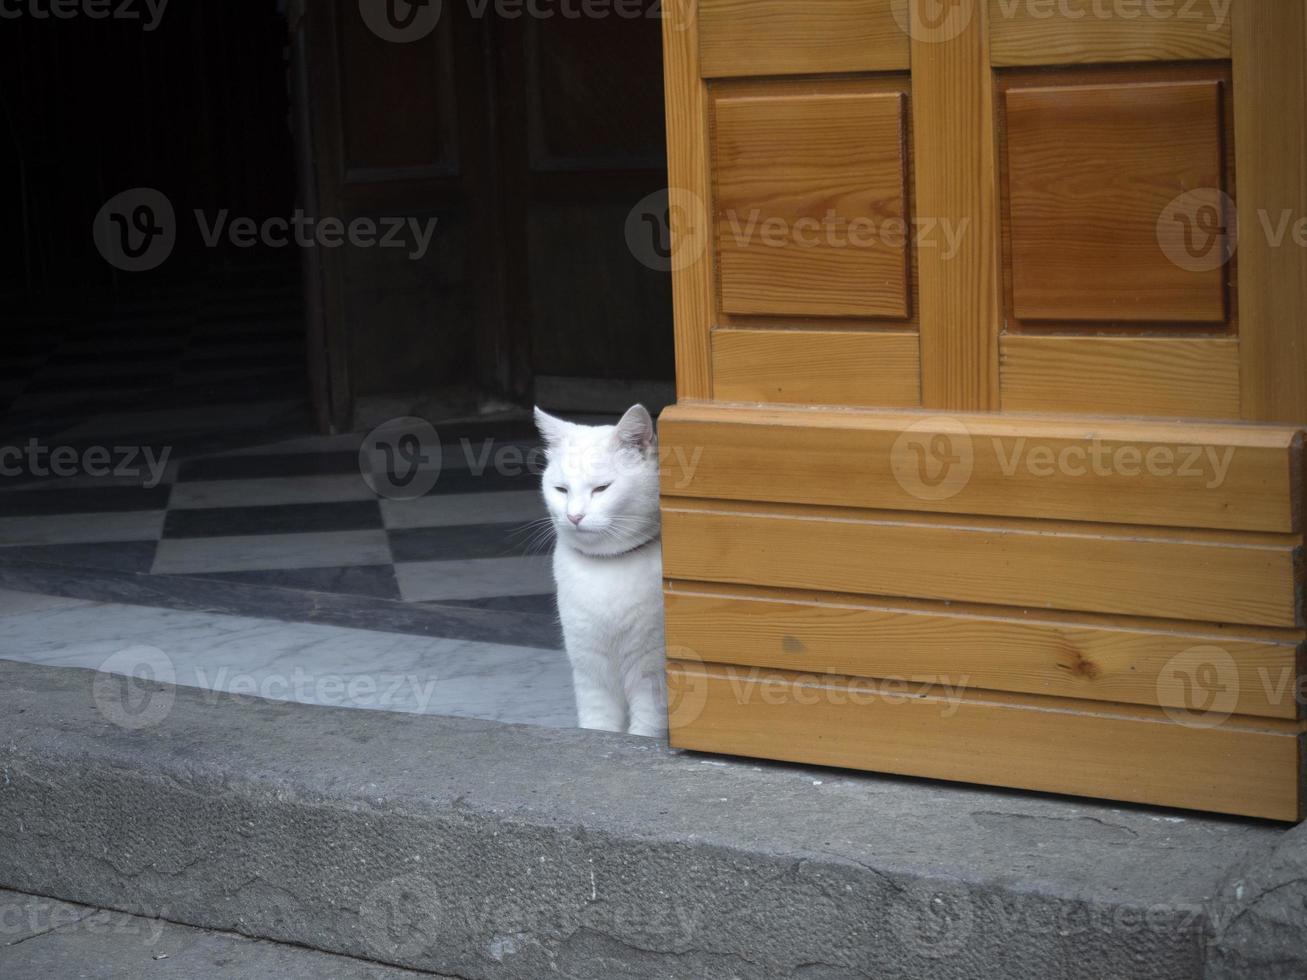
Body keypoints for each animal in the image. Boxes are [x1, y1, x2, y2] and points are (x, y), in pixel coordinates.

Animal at [533, 405, 669, 736]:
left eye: (601, 489)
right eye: (561, 490)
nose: (574, 516)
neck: (607, 565)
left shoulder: (651, 674)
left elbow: (645, 728)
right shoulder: (589, 669)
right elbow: (598, 723)